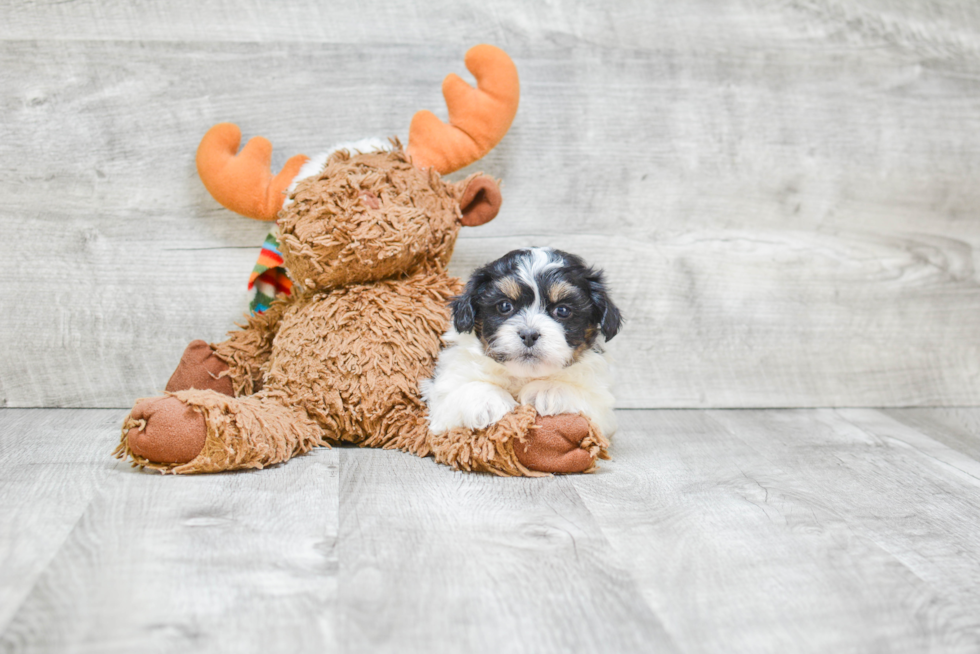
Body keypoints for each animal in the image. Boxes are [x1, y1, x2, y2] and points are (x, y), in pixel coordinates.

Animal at [420, 249, 620, 438]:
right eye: (504, 306)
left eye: (562, 310)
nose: (529, 335)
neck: (523, 376)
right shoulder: (443, 390)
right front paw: (487, 399)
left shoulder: (602, 406)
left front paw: (548, 390)